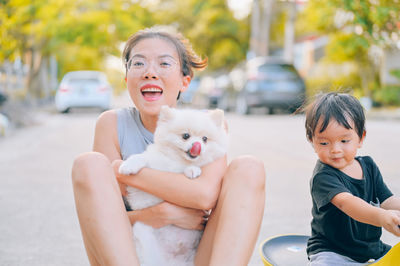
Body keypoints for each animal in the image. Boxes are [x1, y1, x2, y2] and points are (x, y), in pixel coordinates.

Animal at [119, 105, 228, 266]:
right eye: (185, 136)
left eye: (205, 139)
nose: (198, 146)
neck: (177, 161)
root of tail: (172, 261)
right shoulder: (143, 194)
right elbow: (142, 158)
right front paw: (129, 165)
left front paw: (192, 170)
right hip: (142, 232)